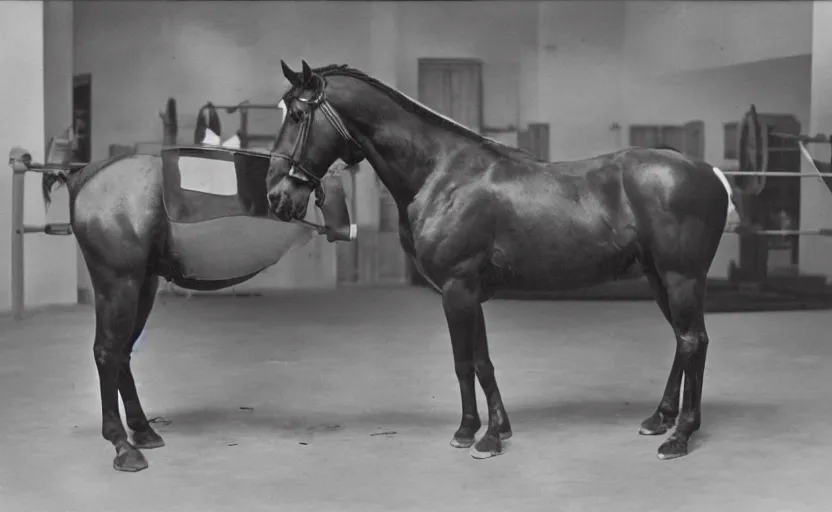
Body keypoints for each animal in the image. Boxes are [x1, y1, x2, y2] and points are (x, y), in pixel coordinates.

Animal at [264, 60, 736, 460]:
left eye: (298, 116)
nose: (277, 196)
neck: (441, 175)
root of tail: (709, 172)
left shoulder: (457, 289)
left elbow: (463, 363)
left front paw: (471, 434)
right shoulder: (470, 291)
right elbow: (482, 361)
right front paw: (494, 431)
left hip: (681, 277)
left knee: (693, 341)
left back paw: (679, 437)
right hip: (659, 278)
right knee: (682, 340)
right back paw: (660, 419)